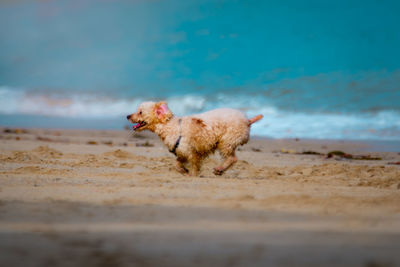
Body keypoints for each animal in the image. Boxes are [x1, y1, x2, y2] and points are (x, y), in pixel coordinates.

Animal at [126, 101, 262, 177]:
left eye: (140, 112)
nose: (127, 116)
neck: (169, 126)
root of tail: (247, 120)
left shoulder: (192, 153)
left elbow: (194, 166)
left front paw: (192, 175)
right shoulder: (182, 153)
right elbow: (176, 164)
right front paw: (184, 171)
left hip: (226, 142)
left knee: (232, 158)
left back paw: (219, 169)